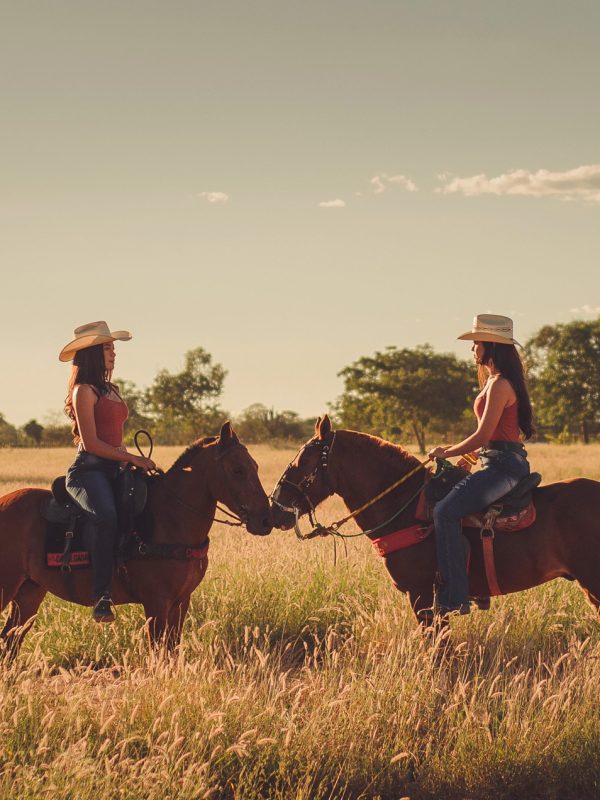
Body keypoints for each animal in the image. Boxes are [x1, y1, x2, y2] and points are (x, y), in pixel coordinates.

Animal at [0, 422, 272, 652]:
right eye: (237, 470)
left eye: (256, 467)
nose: (266, 520)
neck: (171, 519)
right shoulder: (156, 603)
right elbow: (159, 652)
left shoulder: (181, 602)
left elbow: (172, 650)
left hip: (29, 592)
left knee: (11, 641)